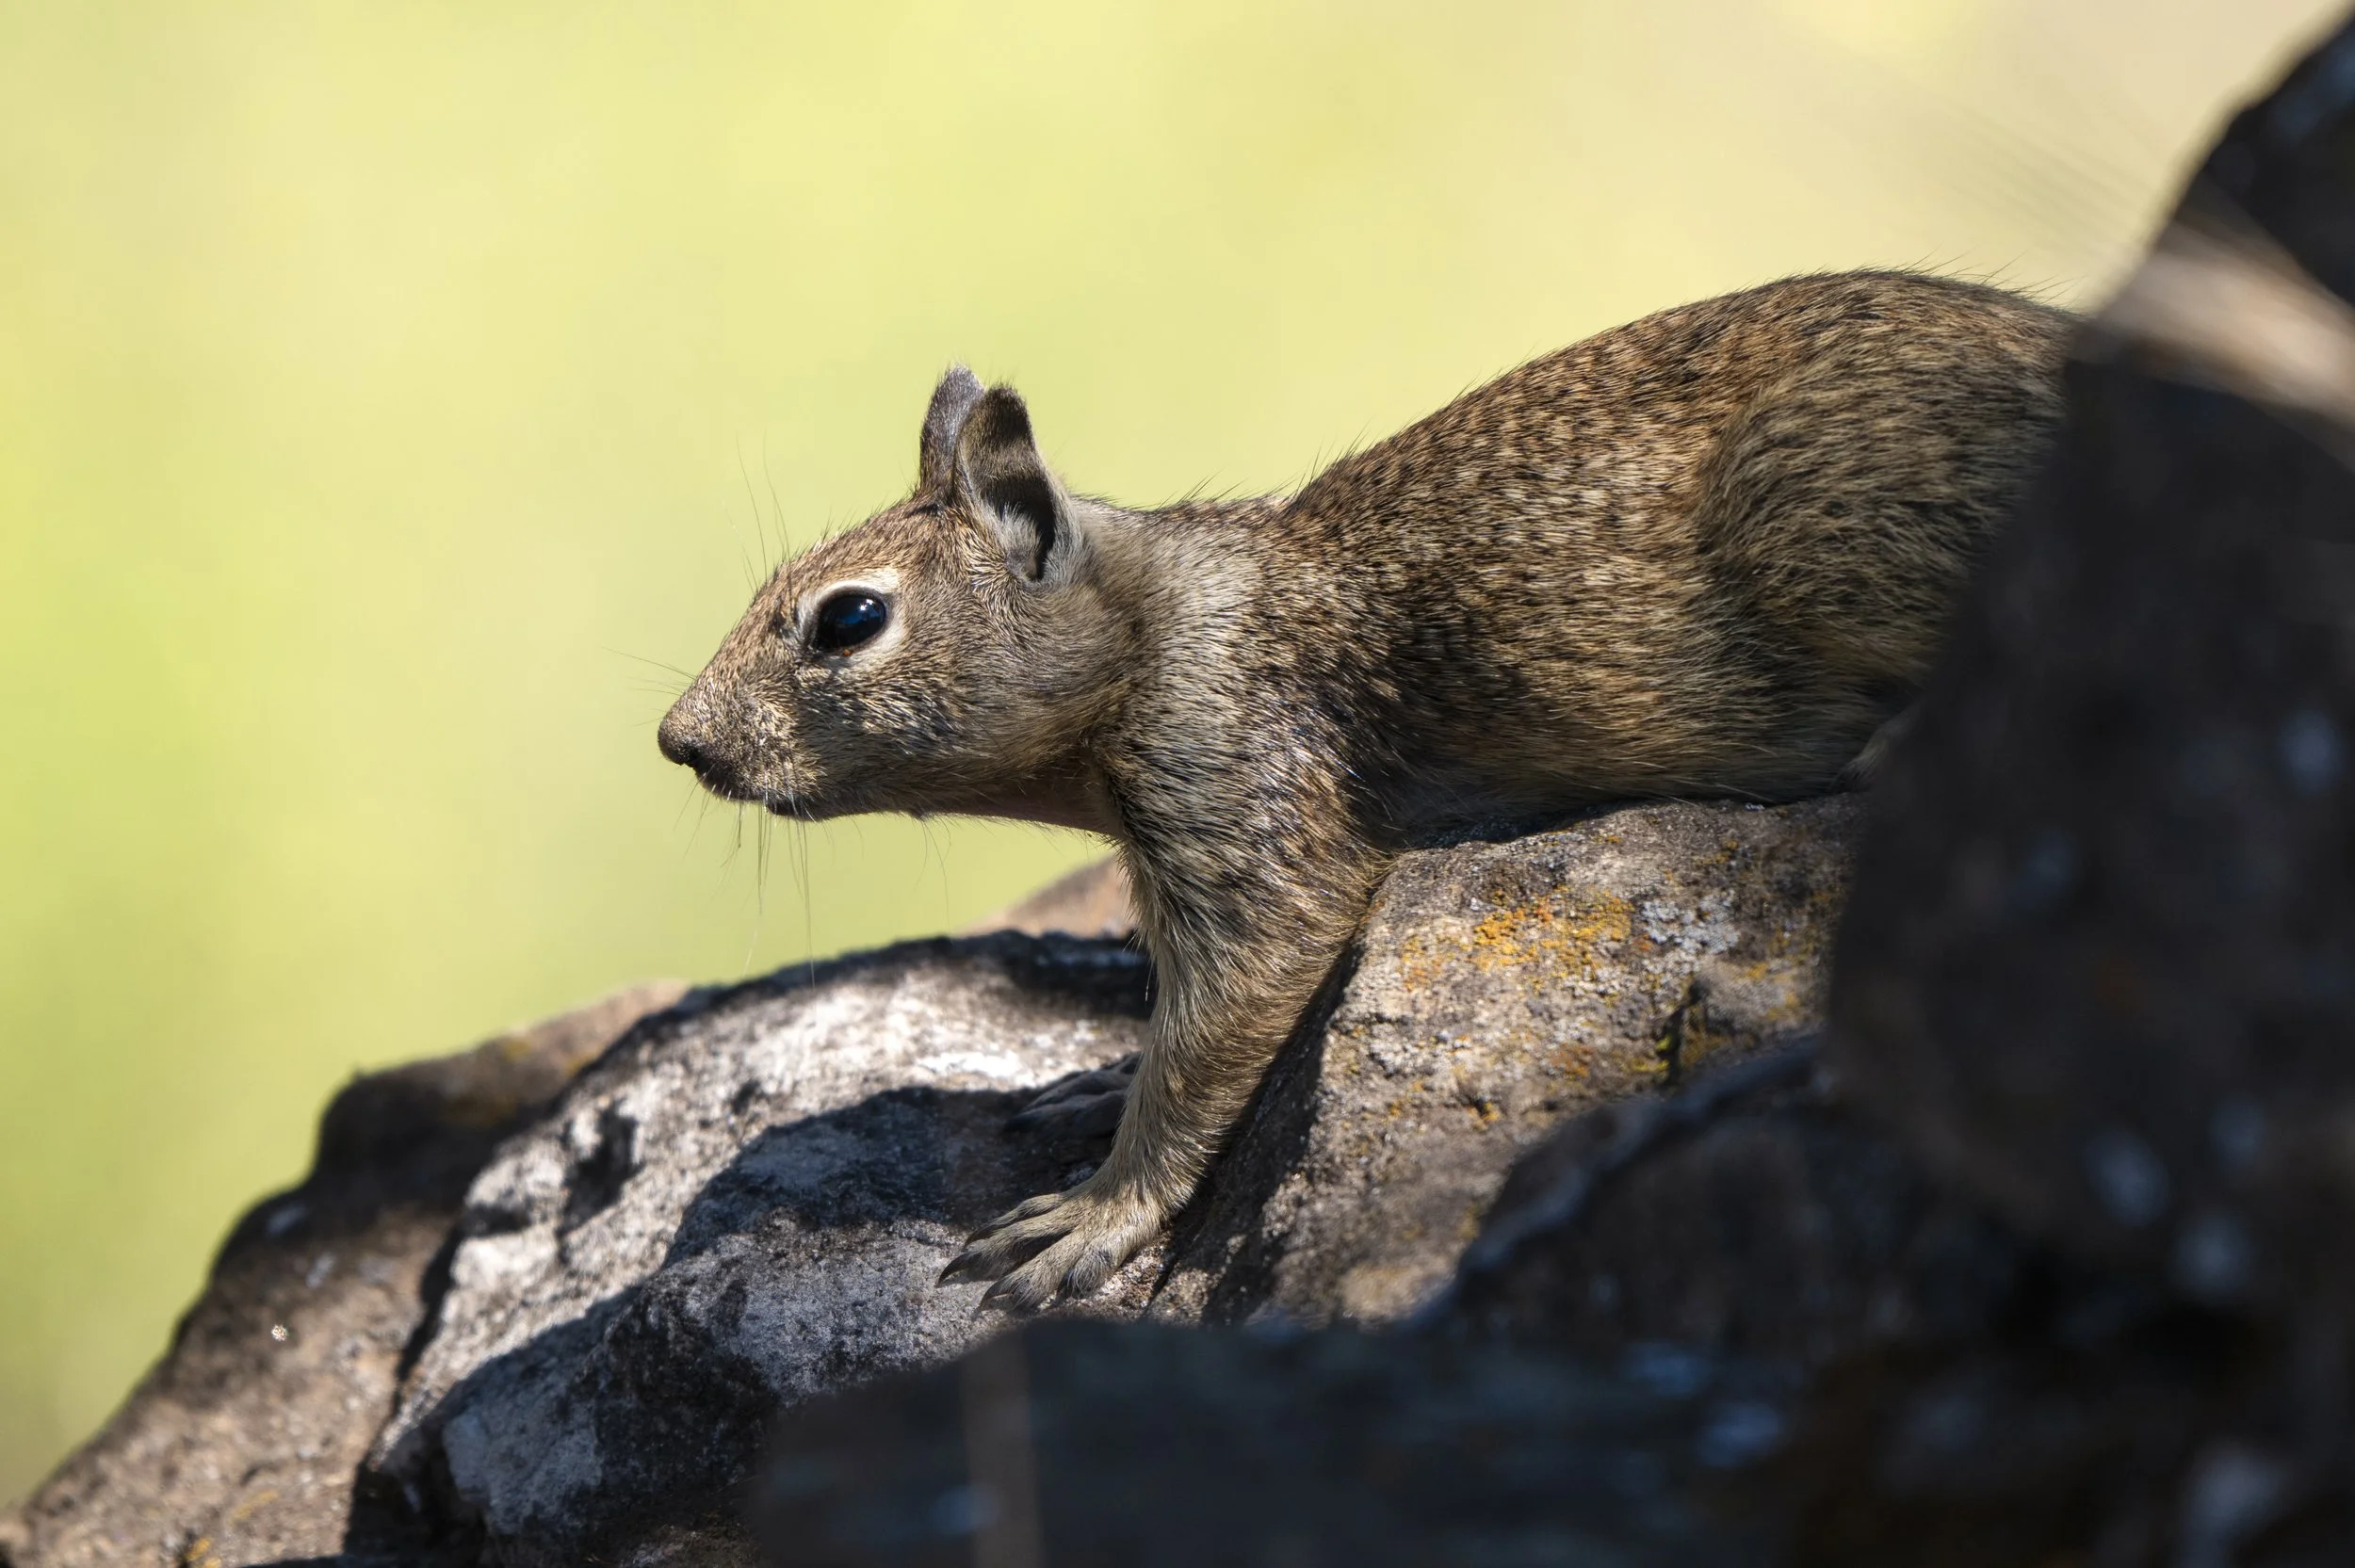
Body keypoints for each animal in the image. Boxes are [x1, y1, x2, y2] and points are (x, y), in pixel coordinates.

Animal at [658, 271, 2071, 1308]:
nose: (679, 741)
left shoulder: (1247, 822)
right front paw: (1087, 1086)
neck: (1149, 627)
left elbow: (1214, 1035)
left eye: (847, 620)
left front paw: (1095, 1214)